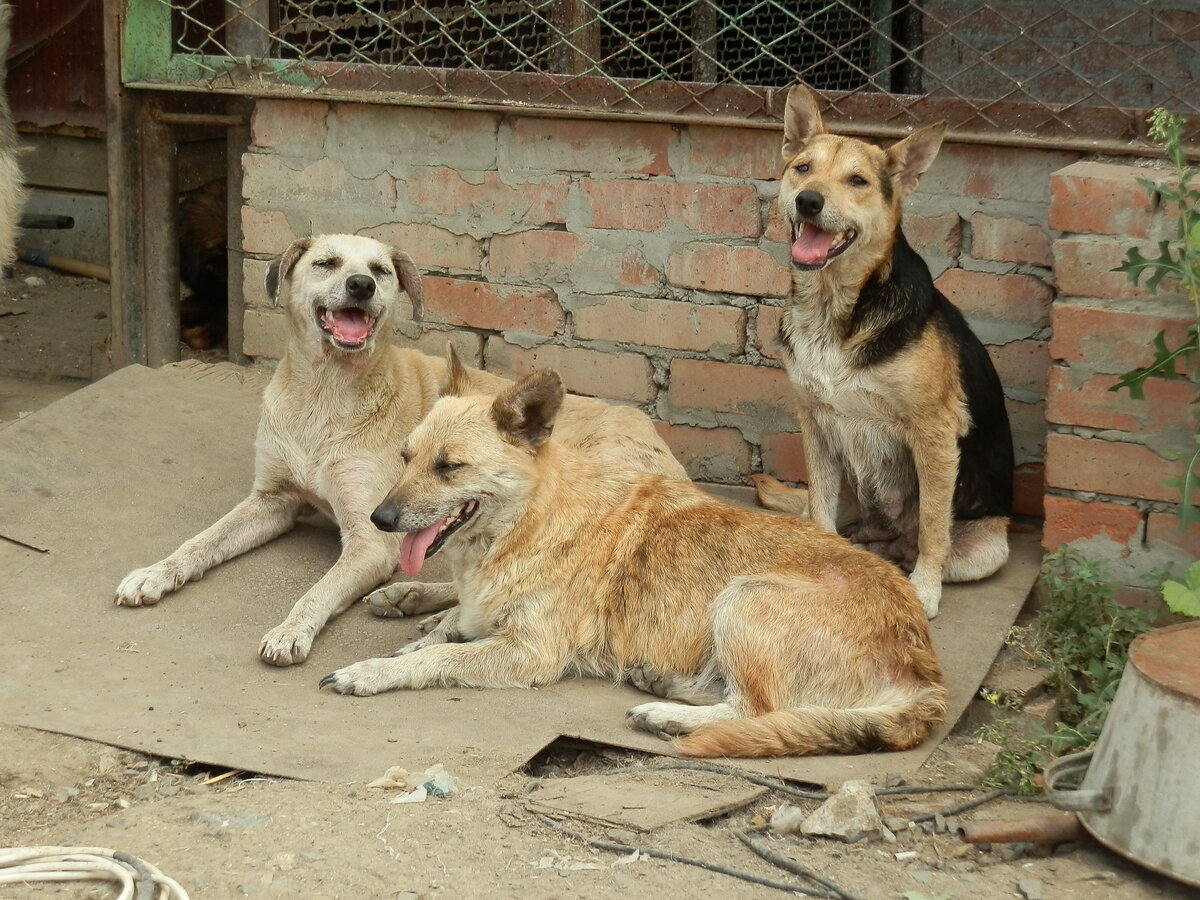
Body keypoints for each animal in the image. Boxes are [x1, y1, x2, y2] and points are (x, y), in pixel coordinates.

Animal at [119, 234, 686, 672]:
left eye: (381, 271)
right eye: (327, 263)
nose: (361, 286)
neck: (324, 395)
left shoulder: (371, 539)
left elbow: (318, 589)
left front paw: (290, 630)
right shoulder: (272, 499)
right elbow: (200, 542)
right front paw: (155, 572)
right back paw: (411, 599)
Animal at [321, 360, 945, 763]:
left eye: (449, 467)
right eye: (405, 457)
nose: (378, 518)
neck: (529, 521)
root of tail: (925, 671)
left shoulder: (529, 653)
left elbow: (438, 659)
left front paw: (370, 671)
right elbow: (444, 635)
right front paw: (417, 630)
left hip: (744, 597)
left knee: (755, 709)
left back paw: (669, 716)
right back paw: (663, 685)